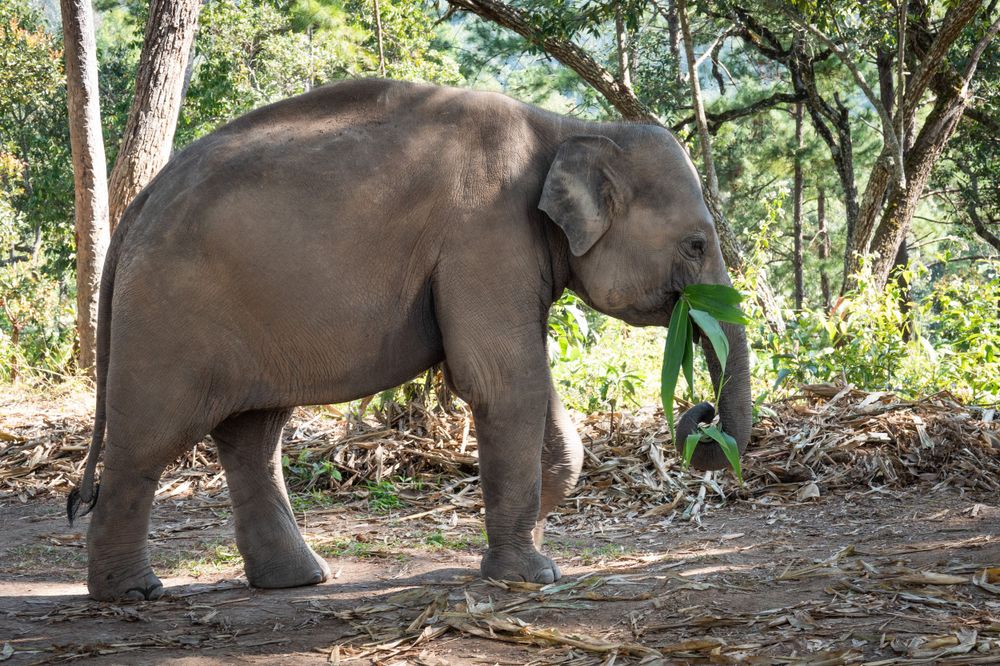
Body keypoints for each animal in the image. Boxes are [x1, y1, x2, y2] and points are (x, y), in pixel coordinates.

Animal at [67, 78, 751, 601]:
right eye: (697, 244)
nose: (701, 412)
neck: (566, 127)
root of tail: (140, 204)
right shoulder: (485, 235)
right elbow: (504, 381)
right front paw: (529, 575)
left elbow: (532, 390)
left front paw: (535, 541)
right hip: (168, 317)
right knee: (149, 440)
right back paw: (132, 593)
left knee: (253, 436)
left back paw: (298, 581)